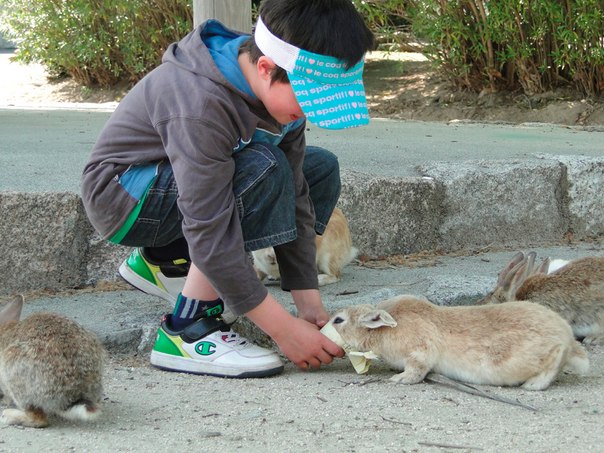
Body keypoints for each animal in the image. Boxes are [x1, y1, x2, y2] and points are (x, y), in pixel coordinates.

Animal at [328, 294, 588, 390]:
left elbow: (417, 368)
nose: (326, 325)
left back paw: (533, 385)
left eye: (338, 320)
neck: (382, 331)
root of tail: (565, 335)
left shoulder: (419, 352)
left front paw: (399, 379)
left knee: (555, 359)